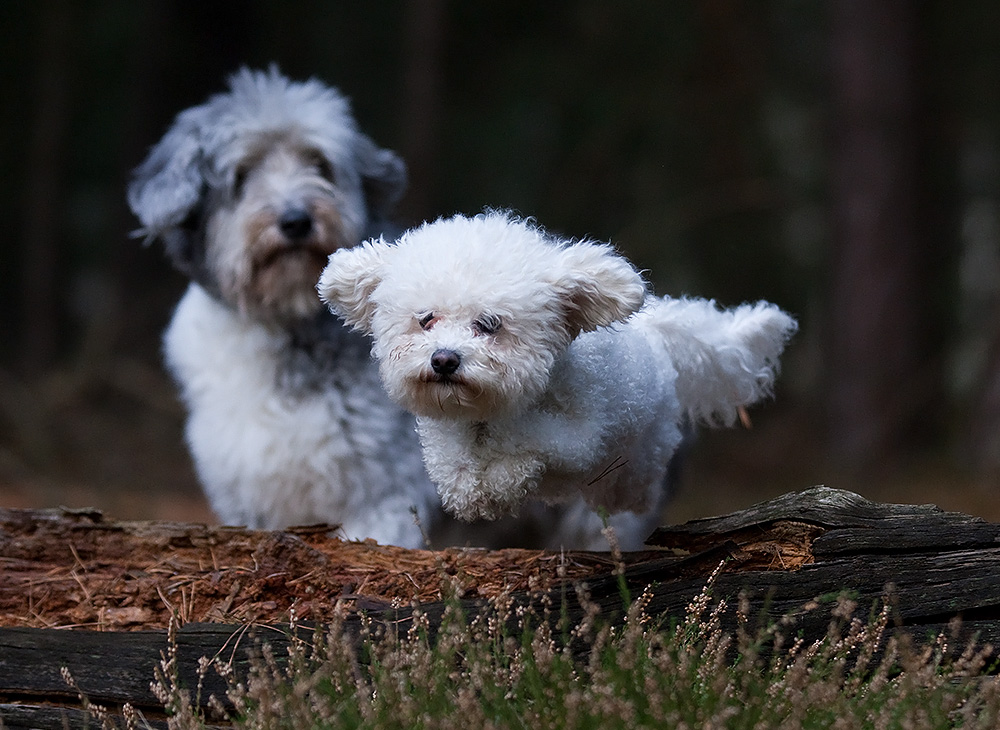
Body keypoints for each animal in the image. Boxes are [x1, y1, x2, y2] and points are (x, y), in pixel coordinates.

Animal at [320, 210, 796, 524]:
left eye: (488, 324)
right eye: (426, 319)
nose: (444, 359)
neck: (488, 410)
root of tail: (654, 332)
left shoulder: (578, 436)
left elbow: (524, 447)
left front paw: (501, 477)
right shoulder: (446, 437)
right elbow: (457, 473)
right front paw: (477, 491)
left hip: (642, 451)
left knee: (634, 484)